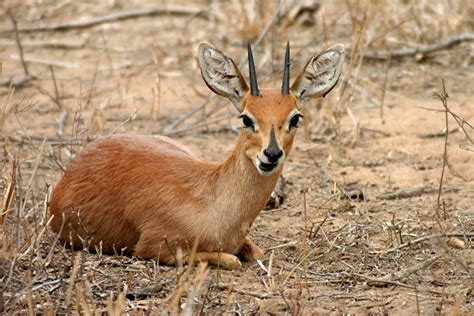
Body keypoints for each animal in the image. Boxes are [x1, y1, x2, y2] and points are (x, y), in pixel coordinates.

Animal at [49, 41, 344, 270]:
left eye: (295, 118)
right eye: (246, 118)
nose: (271, 154)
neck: (211, 200)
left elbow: (254, 252)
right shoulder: (152, 248)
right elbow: (230, 260)